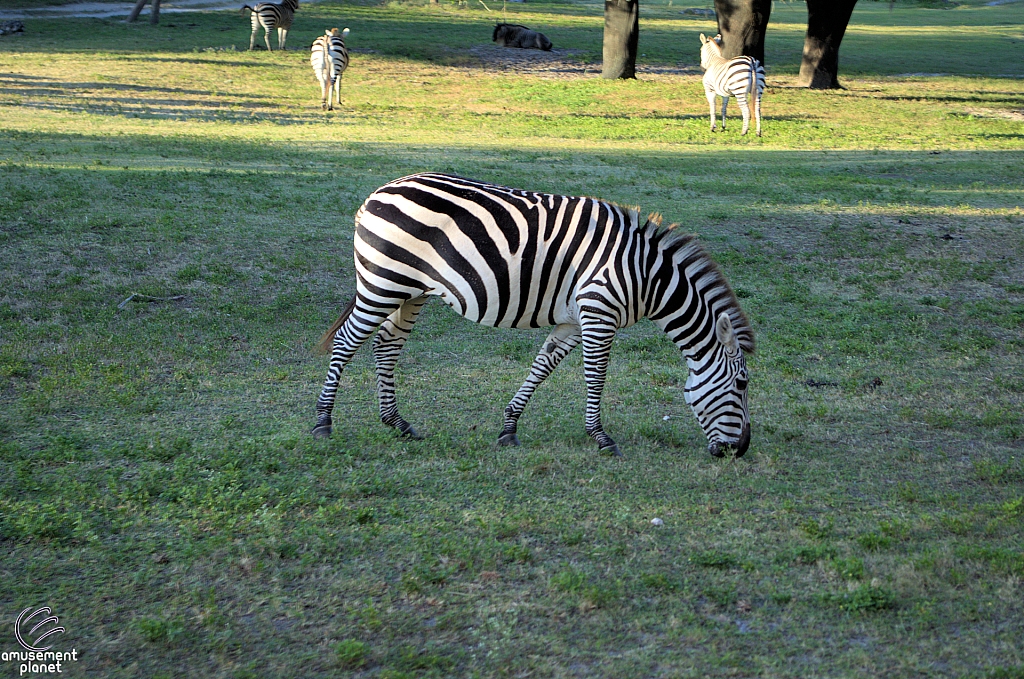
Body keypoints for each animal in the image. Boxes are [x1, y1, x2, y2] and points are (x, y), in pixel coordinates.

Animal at [311, 173, 753, 458]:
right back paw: (323, 423)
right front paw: (601, 438)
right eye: (743, 384)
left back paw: (397, 423)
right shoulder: (599, 311)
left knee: (386, 345)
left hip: (409, 290)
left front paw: (509, 428)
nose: (741, 451)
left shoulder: (574, 319)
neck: (646, 275)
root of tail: (377, 193)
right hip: (382, 281)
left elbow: (542, 366)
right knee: (347, 341)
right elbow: (596, 377)